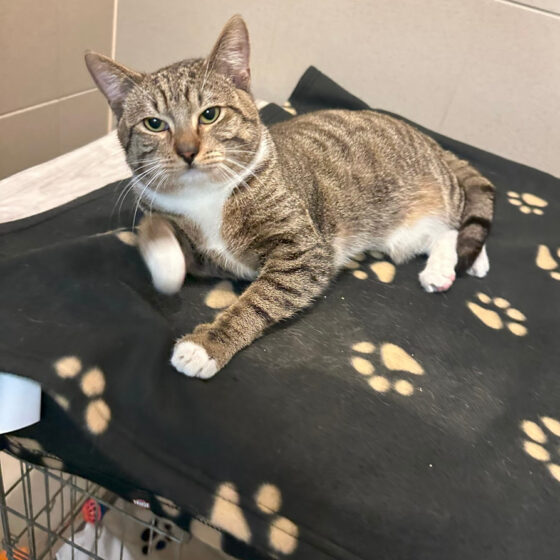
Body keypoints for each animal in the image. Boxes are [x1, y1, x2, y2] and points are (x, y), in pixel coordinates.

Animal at [85, 15, 494, 380]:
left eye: (210, 114)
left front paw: (207, 346)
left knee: (455, 225)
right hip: (402, 233)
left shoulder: (304, 251)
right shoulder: (196, 248)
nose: (187, 151)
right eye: (154, 124)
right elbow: (154, 226)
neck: (205, 196)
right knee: (443, 233)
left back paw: (460, 264)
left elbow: (261, 298)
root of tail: (429, 139)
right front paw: (167, 267)